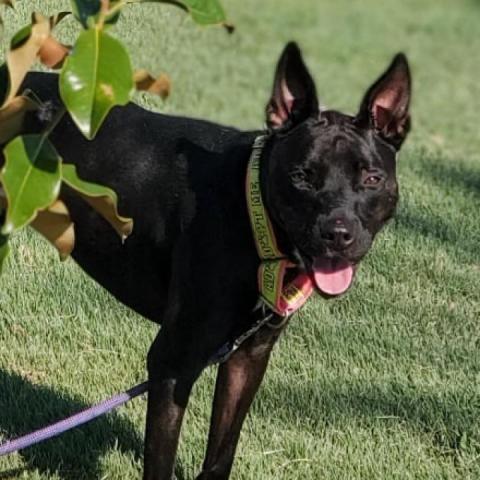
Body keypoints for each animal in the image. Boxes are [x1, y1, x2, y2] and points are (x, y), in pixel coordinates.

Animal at [10, 42, 408, 480]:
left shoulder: (249, 355)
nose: (338, 234)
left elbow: (221, 454)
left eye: (371, 178)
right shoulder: (173, 362)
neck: (252, 215)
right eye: (302, 176)